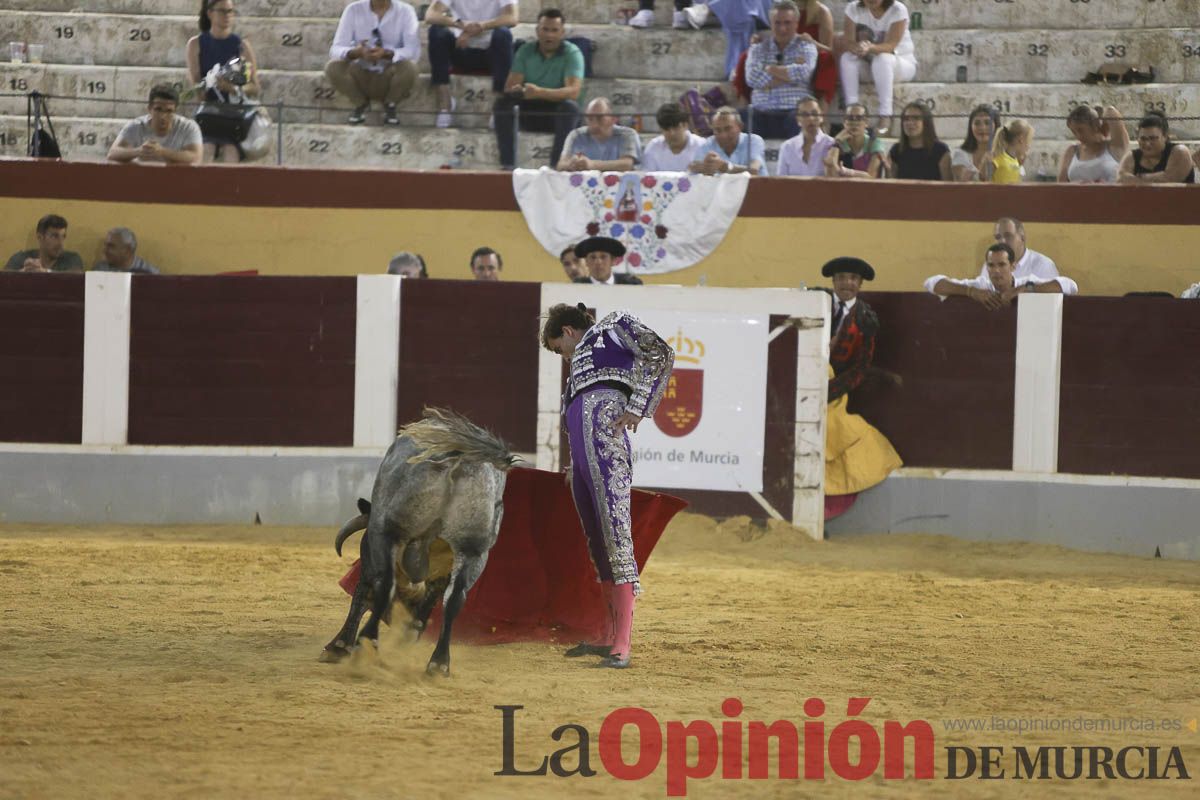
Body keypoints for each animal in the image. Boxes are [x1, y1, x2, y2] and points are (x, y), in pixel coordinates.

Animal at [321, 407, 518, 676]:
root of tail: (454, 458)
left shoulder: (374, 546)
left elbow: (364, 592)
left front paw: (339, 646)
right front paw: (410, 634)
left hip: (390, 529)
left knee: (385, 585)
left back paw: (367, 644)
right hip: (474, 550)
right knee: (454, 598)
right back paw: (438, 663)